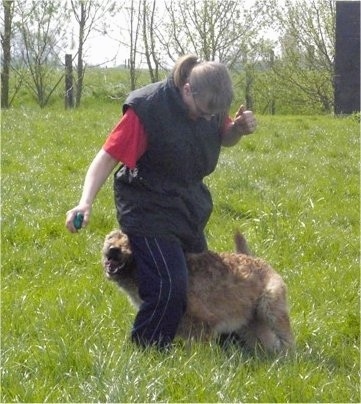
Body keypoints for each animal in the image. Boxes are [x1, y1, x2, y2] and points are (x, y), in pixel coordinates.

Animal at [101, 230, 292, 354]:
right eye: (110, 237)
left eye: (129, 241)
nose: (113, 249)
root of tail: (259, 260)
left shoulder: (204, 324)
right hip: (251, 324)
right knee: (269, 341)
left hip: (270, 309)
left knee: (287, 339)